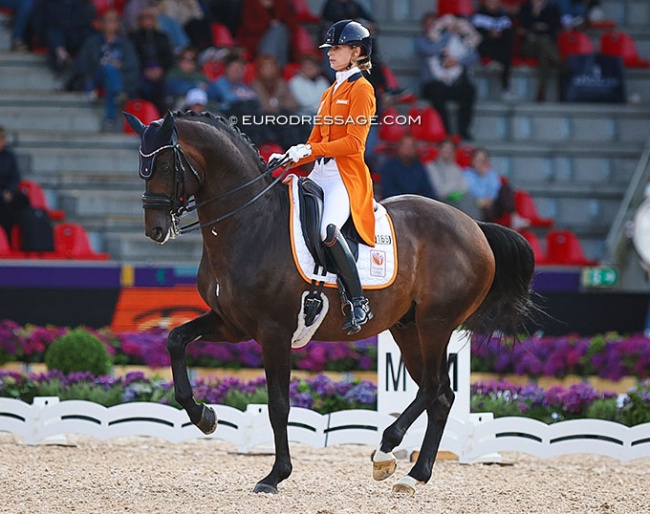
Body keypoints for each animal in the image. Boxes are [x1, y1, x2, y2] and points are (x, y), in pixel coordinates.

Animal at [123, 110, 532, 494]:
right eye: (142, 167)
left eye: (163, 165)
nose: (155, 229)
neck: (250, 224)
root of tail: (475, 226)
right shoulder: (232, 325)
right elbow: (175, 340)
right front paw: (204, 416)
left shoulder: (274, 332)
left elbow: (278, 405)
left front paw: (275, 476)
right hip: (408, 327)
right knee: (441, 395)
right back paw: (412, 474)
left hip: (436, 324)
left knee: (433, 388)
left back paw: (387, 451)